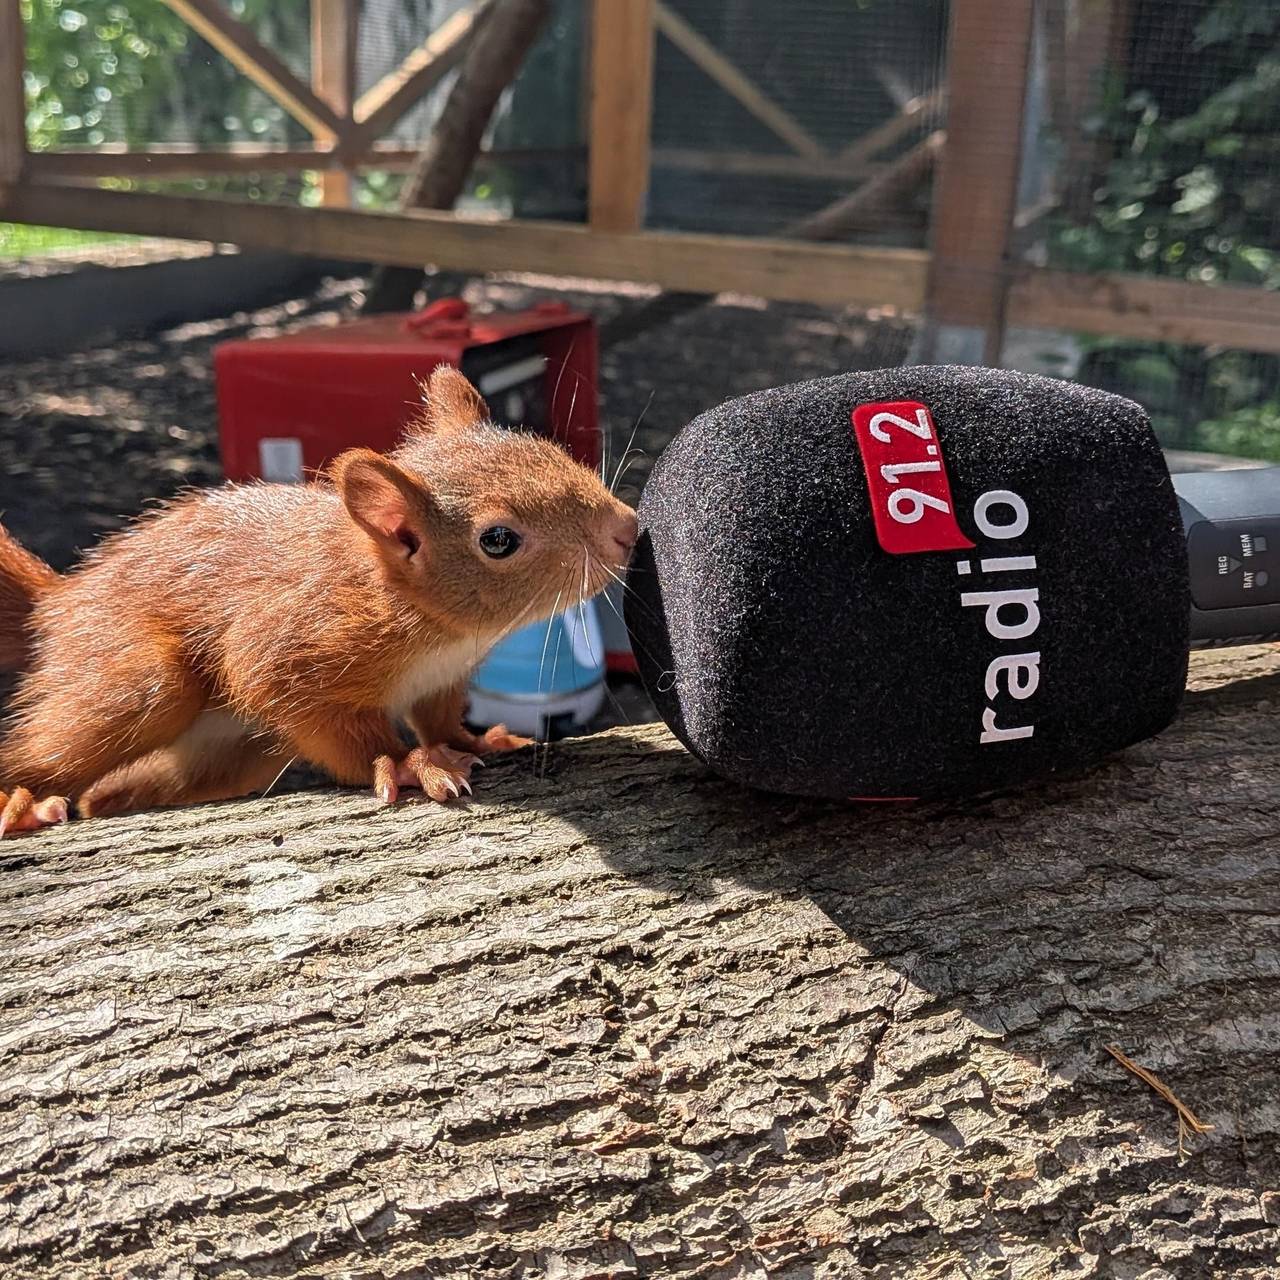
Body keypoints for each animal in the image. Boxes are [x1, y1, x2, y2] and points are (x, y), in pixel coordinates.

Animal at [0, 365, 637, 836]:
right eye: (498, 540)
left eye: (549, 449)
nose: (628, 529)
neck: (439, 629)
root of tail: (61, 603)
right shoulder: (290, 645)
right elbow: (318, 713)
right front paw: (408, 762)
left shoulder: (441, 681)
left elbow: (439, 720)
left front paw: (474, 740)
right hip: (140, 680)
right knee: (48, 754)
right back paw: (21, 800)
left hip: (234, 751)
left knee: (107, 796)